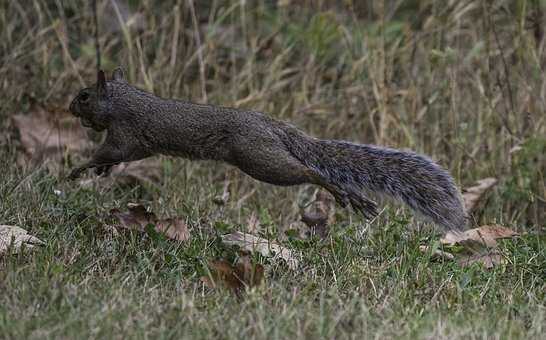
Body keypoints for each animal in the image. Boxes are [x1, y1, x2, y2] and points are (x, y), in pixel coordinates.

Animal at [68, 67, 466, 231]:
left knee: (309, 171)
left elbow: (110, 151)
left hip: (259, 159)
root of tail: (272, 126)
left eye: (84, 96)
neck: (122, 99)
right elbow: (118, 158)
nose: (69, 108)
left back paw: (342, 193)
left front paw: (78, 169)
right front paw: (99, 172)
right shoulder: (137, 144)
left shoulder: (126, 133)